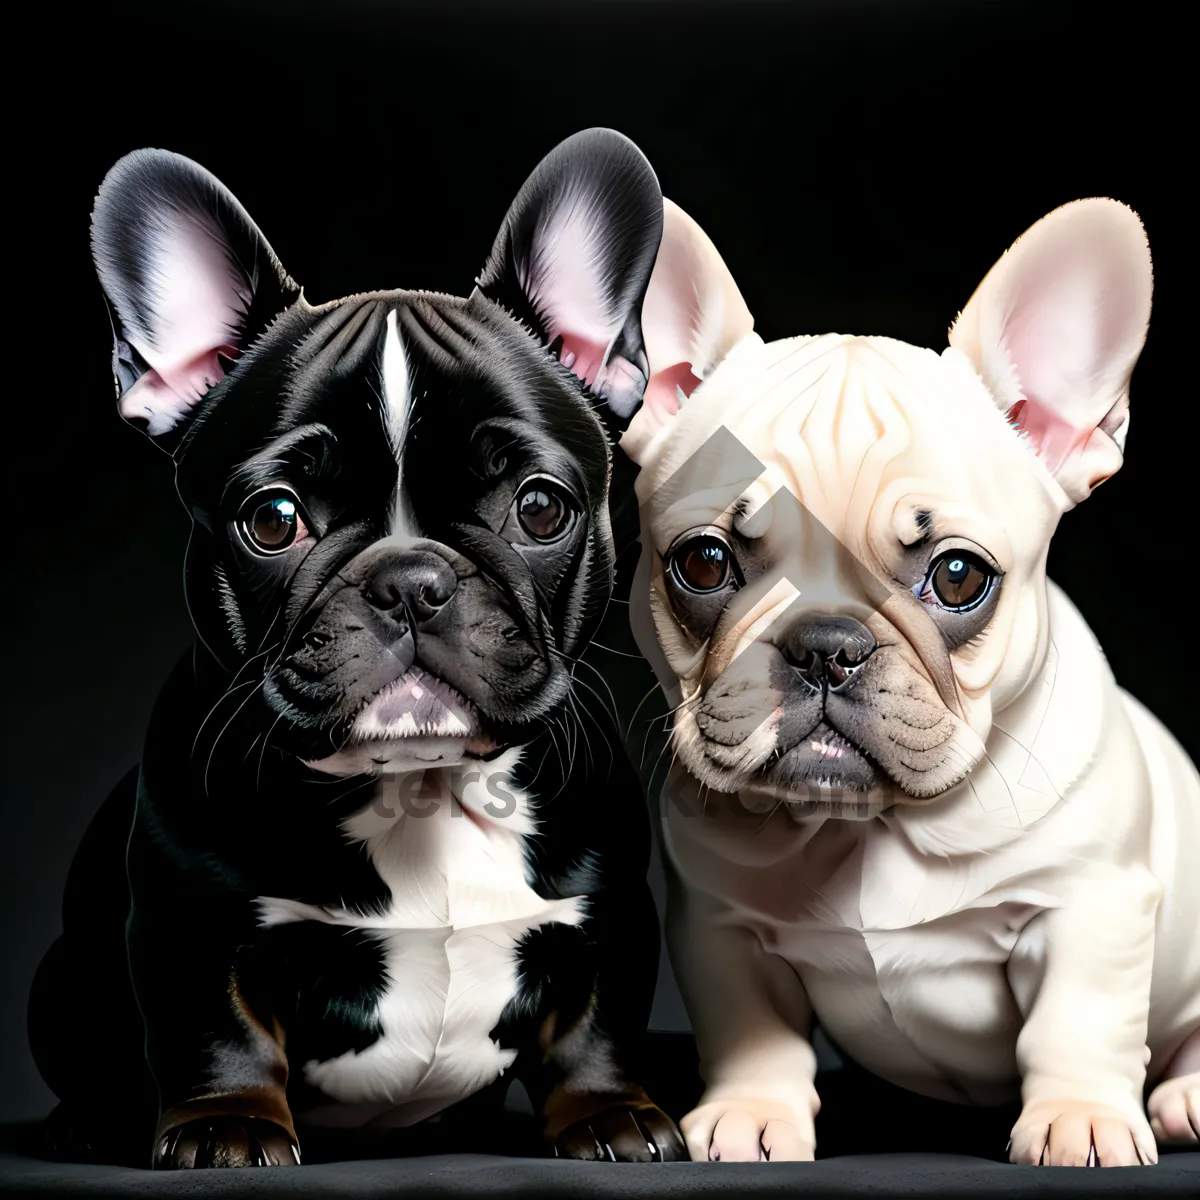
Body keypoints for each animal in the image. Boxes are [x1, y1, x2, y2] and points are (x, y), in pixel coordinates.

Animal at [28, 129, 686, 1161]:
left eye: (540, 507)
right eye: (274, 518)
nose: (410, 580)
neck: (420, 787)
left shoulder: (608, 912)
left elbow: (598, 1023)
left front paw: (611, 1114)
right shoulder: (189, 919)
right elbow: (211, 1028)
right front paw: (225, 1125)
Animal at [624, 194, 1195, 1161]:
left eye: (959, 577)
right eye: (701, 563)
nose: (826, 644)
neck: (867, 829)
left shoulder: (1092, 908)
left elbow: (1077, 1023)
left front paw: (1078, 1117)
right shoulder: (721, 927)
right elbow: (754, 1030)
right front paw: (752, 1112)